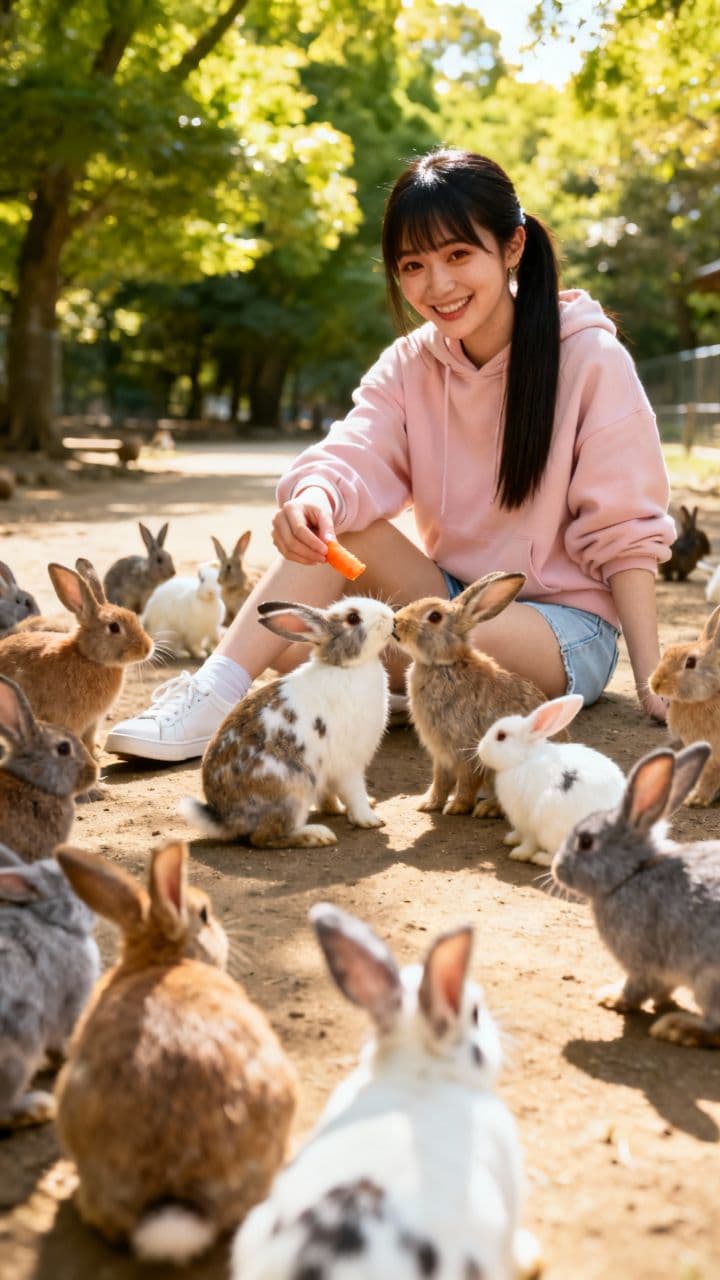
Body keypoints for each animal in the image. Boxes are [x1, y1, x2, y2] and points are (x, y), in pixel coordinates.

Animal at [0, 558, 153, 755]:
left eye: (134, 616)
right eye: (114, 627)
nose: (148, 648)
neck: (89, 658)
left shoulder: (93, 723)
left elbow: (89, 741)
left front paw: (96, 757)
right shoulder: (72, 721)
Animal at [181, 596, 395, 848]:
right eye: (353, 618)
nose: (392, 618)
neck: (346, 667)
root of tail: (225, 819)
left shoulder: (327, 771)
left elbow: (329, 795)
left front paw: (337, 809)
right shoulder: (349, 764)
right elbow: (354, 792)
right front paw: (370, 819)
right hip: (294, 789)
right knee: (264, 837)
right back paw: (316, 835)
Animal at [393, 573, 546, 818]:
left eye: (434, 616)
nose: (396, 622)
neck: (444, 665)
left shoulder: (466, 748)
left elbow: (466, 781)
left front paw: (456, 807)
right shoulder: (441, 755)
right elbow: (441, 780)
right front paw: (428, 804)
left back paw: (488, 808)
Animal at [477, 694, 626, 867]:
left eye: (501, 736)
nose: (480, 750)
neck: (523, 760)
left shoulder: (528, 822)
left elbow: (529, 842)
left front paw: (519, 853)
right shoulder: (520, 824)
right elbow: (518, 834)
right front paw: (510, 839)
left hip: (552, 830)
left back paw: (540, 857)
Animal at [551, 741, 720, 1048]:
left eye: (586, 841)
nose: (556, 868)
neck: (631, 875)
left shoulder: (642, 962)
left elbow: (638, 988)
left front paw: (610, 998)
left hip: (709, 979)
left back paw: (676, 1028)